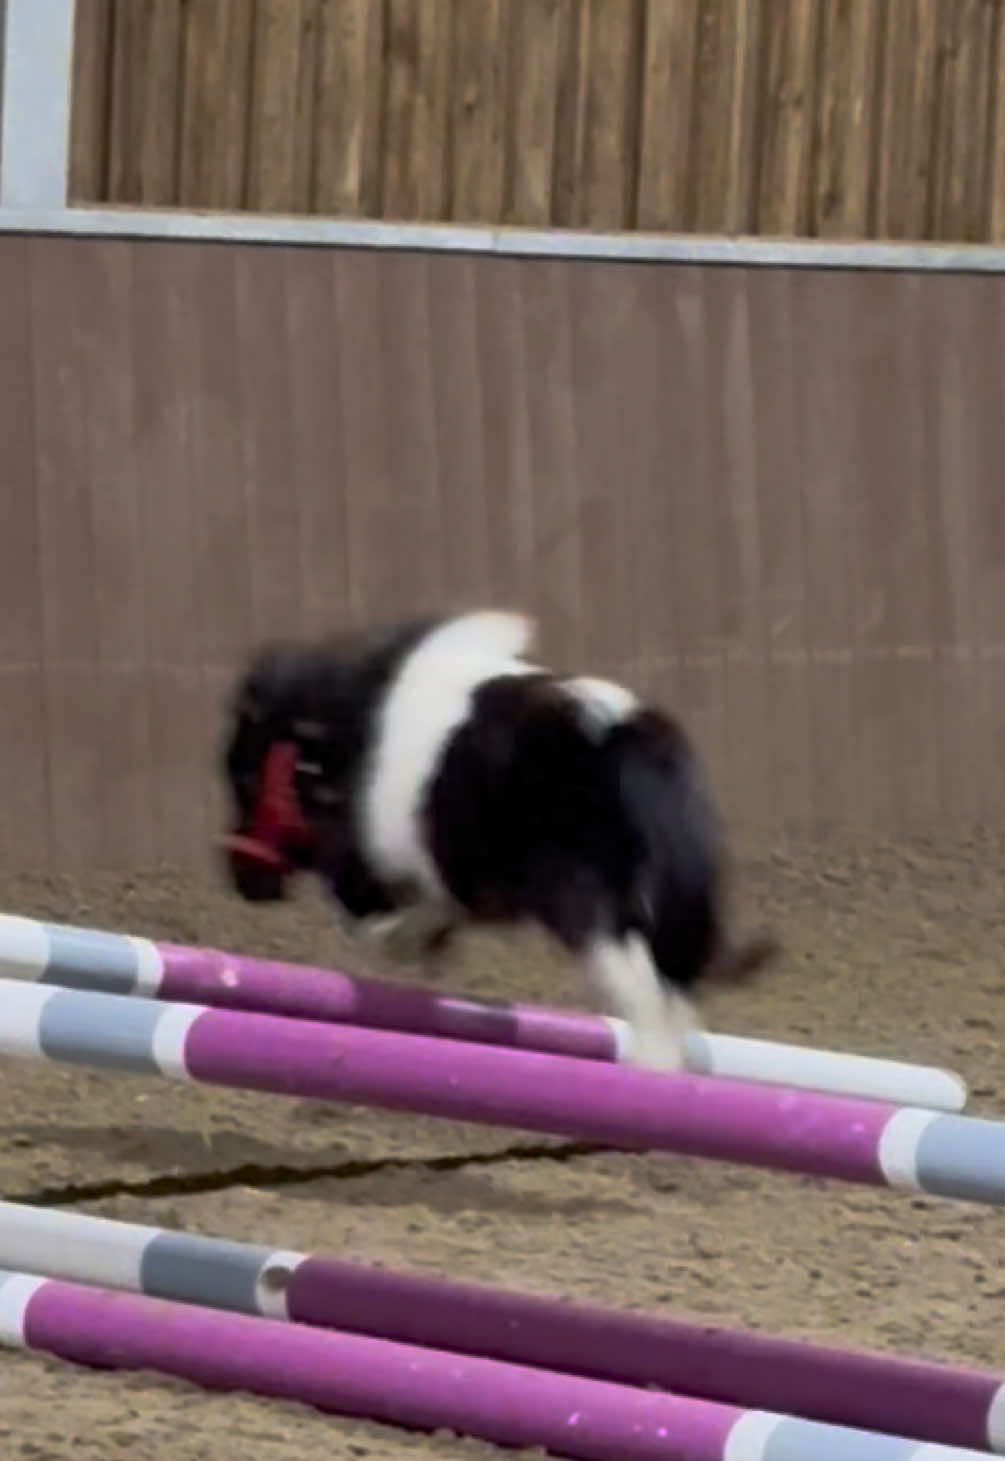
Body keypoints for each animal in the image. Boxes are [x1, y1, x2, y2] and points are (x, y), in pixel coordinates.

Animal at [216, 610, 771, 1069]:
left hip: (593, 917)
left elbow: (380, 914)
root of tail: (625, 740)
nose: (243, 881)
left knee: (647, 1002)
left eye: (247, 778)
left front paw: (405, 941)